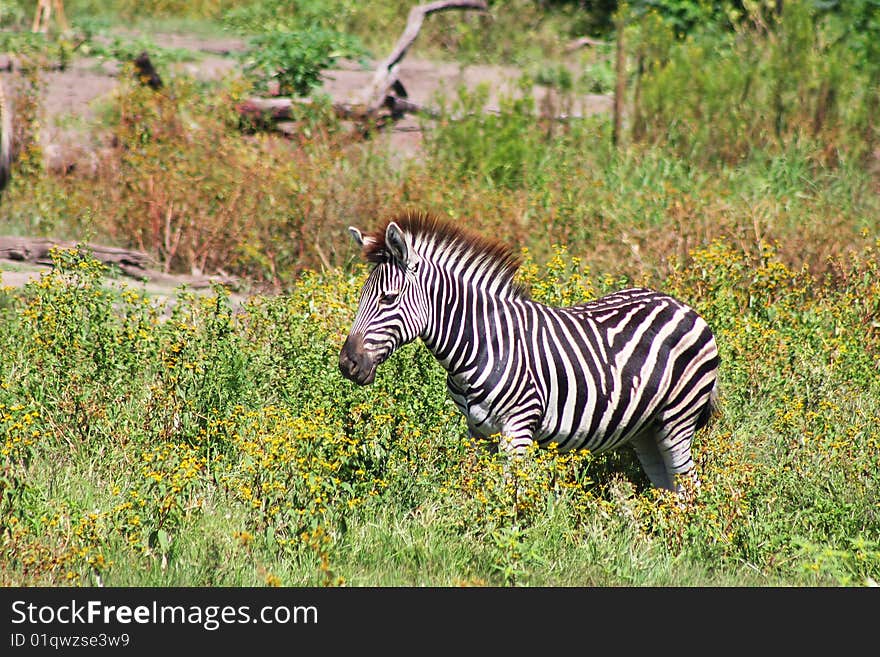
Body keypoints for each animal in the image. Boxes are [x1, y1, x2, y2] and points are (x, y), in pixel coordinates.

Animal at [340, 213, 720, 490]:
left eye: (388, 298)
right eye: (361, 296)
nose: (347, 364)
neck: (481, 343)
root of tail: (683, 305)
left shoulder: (518, 429)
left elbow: (507, 494)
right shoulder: (477, 431)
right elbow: (476, 490)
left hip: (677, 420)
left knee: (690, 487)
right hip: (646, 429)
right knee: (669, 490)